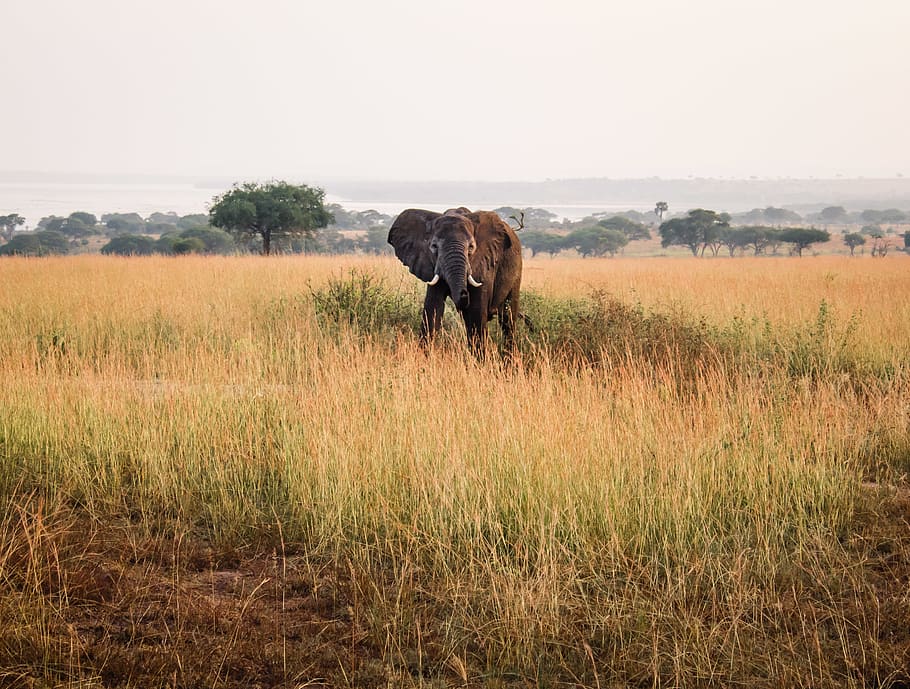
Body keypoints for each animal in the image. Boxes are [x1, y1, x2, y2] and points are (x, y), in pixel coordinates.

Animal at [388, 207, 523, 353]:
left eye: (471, 247)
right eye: (434, 246)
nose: (464, 293)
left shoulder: (484, 263)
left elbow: (477, 311)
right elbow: (433, 308)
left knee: (508, 320)